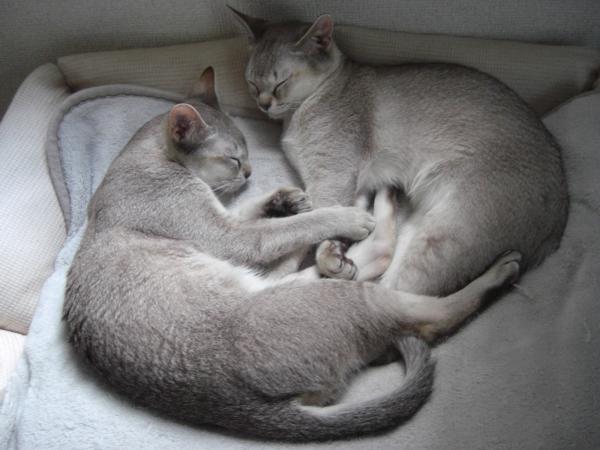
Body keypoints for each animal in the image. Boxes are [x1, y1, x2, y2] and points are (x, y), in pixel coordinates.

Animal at [64, 67, 522, 441]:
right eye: (233, 159)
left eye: (248, 154)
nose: (250, 172)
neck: (140, 160)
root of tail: (233, 405)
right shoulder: (223, 234)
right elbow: (289, 227)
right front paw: (338, 215)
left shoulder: (227, 221)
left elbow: (260, 213)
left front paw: (284, 197)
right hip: (337, 300)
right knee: (421, 303)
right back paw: (487, 265)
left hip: (277, 287)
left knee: (335, 267)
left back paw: (367, 213)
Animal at [230, 8, 569, 295]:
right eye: (251, 83)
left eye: (280, 84)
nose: (262, 103)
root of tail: (561, 214)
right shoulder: (350, 185)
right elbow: (329, 223)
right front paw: (338, 252)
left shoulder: (331, 176)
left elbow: (312, 228)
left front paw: (307, 261)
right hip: (418, 226)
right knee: (382, 262)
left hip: (443, 236)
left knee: (399, 300)